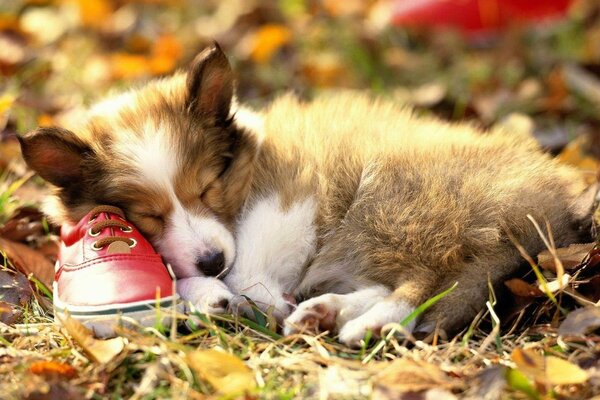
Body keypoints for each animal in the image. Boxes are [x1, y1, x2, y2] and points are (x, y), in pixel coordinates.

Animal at [18, 43, 596, 344]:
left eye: (208, 186)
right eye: (146, 216)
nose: (211, 262)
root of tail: (550, 210)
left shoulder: (289, 200)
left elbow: (250, 267)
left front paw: (242, 292)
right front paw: (206, 293)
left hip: (395, 203)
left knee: (427, 281)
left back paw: (363, 324)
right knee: (401, 282)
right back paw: (325, 312)